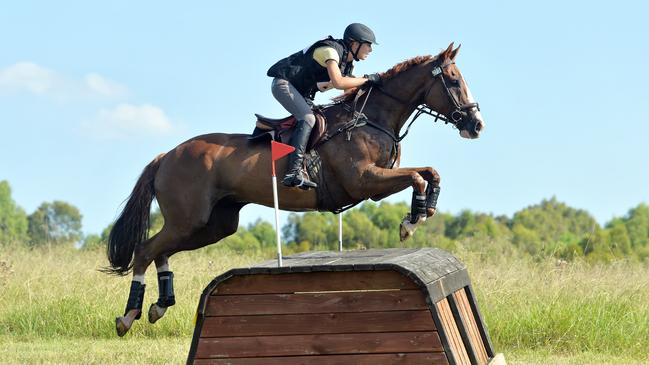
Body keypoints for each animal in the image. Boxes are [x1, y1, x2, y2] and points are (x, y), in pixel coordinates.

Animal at [105, 43, 480, 336]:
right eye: (453, 80)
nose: (476, 125)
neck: (370, 118)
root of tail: (166, 155)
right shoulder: (365, 182)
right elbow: (417, 177)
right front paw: (410, 222)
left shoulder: (377, 180)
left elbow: (430, 173)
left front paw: (424, 210)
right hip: (190, 220)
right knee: (145, 250)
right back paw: (128, 316)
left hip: (214, 225)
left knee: (161, 251)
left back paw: (160, 306)